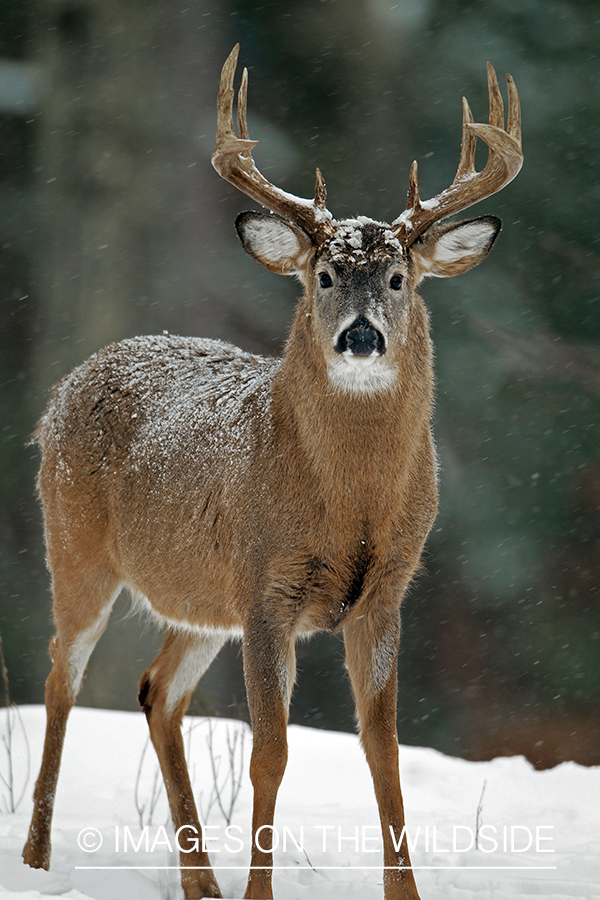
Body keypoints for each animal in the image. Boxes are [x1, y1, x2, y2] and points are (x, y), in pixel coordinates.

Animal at [22, 47, 520, 900]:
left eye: (398, 279)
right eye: (323, 277)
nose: (361, 337)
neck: (351, 508)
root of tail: (68, 384)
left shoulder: (386, 593)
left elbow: (382, 751)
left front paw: (405, 892)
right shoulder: (266, 586)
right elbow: (271, 754)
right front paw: (263, 891)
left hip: (198, 599)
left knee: (157, 692)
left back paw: (200, 882)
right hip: (76, 542)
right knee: (62, 674)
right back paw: (37, 860)